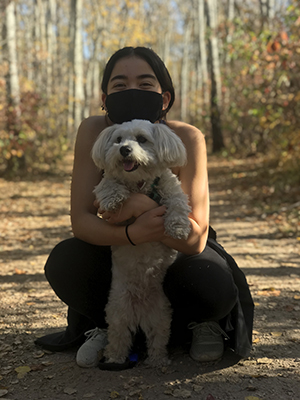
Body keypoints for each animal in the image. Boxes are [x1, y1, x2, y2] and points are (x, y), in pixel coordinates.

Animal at [91, 119, 191, 366]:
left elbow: (177, 204)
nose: (124, 149)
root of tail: (139, 312)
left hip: (161, 316)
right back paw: (114, 359)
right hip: (118, 312)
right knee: (118, 338)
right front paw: (113, 198)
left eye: (142, 139)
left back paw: (158, 360)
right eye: (118, 140)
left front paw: (178, 227)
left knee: (157, 340)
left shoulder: (171, 189)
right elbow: (108, 184)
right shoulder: (107, 188)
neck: (138, 183)